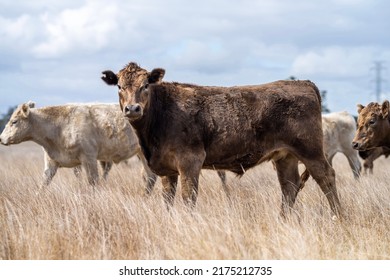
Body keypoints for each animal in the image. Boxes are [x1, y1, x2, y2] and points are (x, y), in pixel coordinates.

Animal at [1, 100, 157, 190]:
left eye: (14, 121)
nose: (1, 138)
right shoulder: (51, 160)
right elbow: (44, 182)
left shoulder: (89, 158)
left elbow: (93, 182)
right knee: (149, 177)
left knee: (151, 177)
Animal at [101, 62, 342, 218]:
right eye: (119, 86)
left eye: (145, 85)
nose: (132, 108)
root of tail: (303, 83)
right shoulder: (167, 169)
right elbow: (167, 200)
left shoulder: (190, 161)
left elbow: (188, 198)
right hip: (285, 156)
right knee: (289, 186)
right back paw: (283, 220)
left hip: (310, 150)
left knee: (326, 177)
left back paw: (339, 216)